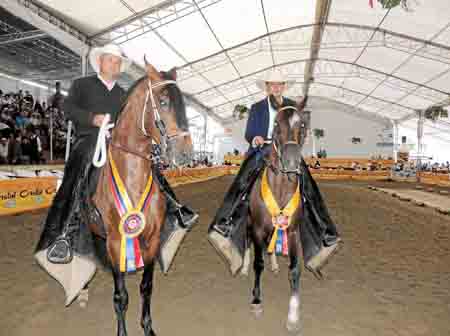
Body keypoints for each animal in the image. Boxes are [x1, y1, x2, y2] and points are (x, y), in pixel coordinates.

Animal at [89, 61, 192, 336]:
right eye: (164, 101)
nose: (186, 153)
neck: (132, 176)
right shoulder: (115, 241)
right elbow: (121, 296)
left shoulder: (152, 240)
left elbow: (146, 288)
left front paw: (148, 328)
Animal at [246, 101, 306, 332]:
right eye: (276, 124)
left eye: (303, 124)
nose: (291, 161)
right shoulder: (257, 229)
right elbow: (258, 264)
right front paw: (256, 302)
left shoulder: (293, 231)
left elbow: (295, 270)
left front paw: (293, 317)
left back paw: (274, 265)